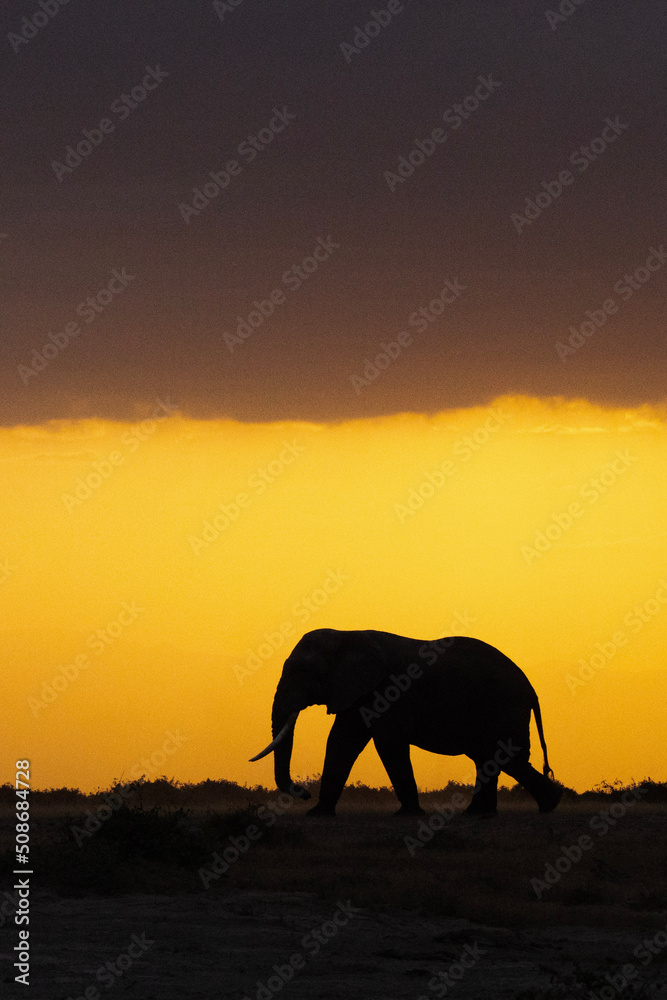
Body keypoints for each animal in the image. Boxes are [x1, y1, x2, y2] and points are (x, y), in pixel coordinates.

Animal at [250, 628, 562, 817]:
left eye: (304, 672)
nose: (303, 792)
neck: (348, 634)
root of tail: (531, 688)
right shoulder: (358, 692)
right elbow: (341, 741)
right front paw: (318, 814)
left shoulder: (390, 690)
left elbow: (388, 742)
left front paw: (408, 814)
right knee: (490, 758)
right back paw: (484, 813)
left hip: (502, 705)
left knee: (504, 757)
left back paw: (549, 805)